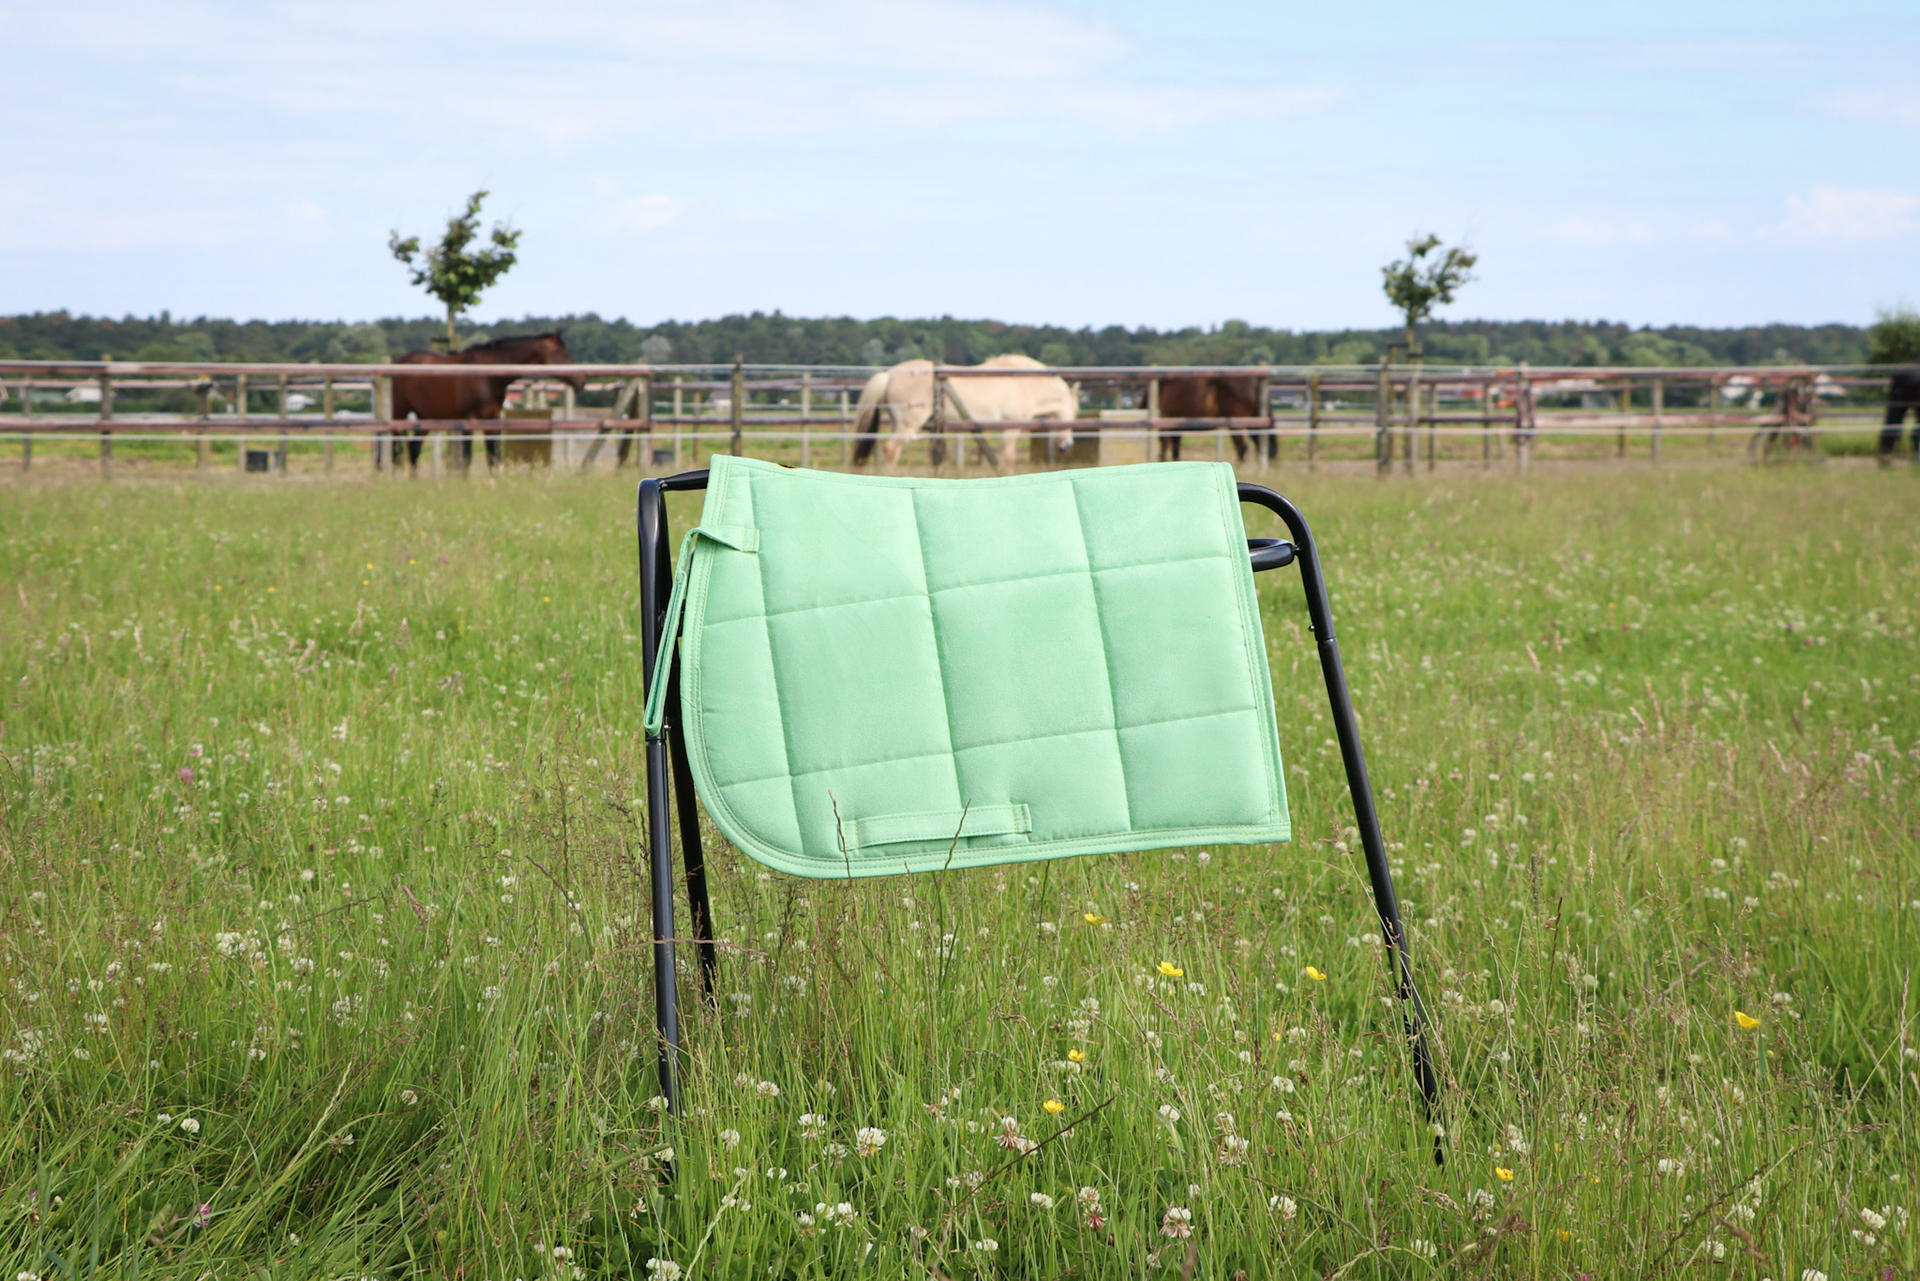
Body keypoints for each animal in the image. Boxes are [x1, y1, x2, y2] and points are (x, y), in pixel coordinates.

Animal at [383, 331, 587, 471]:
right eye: (563, 354)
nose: (581, 381)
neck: (488, 375)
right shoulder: (469, 420)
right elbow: (467, 458)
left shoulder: (492, 419)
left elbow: (493, 457)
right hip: (399, 413)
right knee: (396, 449)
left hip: (425, 416)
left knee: (413, 448)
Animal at [851, 354, 1075, 469]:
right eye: (1073, 413)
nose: (1066, 446)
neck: (1025, 383)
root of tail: (889, 375)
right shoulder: (1011, 427)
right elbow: (1008, 456)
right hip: (909, 424)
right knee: (891, 449)